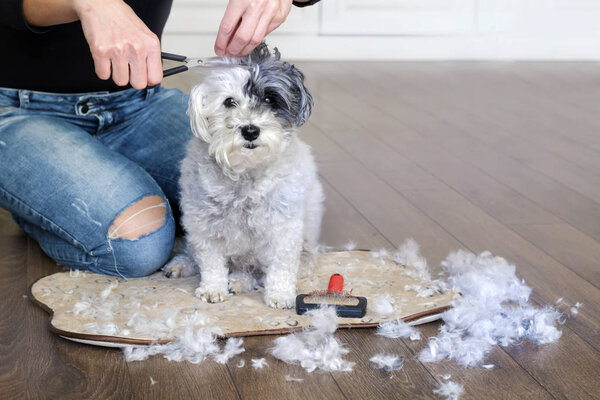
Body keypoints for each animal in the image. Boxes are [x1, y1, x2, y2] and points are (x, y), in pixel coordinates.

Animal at [164, 44, 324, 310]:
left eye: (269, 99)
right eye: (229, 102)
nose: (250, 130)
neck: (245, 173)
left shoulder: (284, 230)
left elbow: (280, 267)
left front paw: (280, 295)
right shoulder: (204, 226)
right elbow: (211, 263)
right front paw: (212, 289)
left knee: (256, 271)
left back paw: (239, 281)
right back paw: (183, 264)